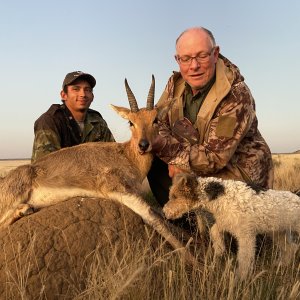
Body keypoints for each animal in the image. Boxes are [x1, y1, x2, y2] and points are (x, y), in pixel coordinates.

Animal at [0, 77, 197, 264]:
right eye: (130, 122)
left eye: (155, 120)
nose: (143, 145)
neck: (127, 156)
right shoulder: (118, 190)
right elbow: (154, 218)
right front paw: (193, 261)